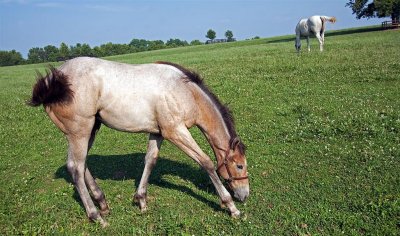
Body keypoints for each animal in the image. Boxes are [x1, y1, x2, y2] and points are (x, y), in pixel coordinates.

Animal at [28, 56, 248, 227]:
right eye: (239, 165)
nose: (244, 195)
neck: (185, 92)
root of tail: (53, 80)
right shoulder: (175, 131)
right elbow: (206, 162)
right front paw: (230, 206)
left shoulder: (158, 133)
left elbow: (150, 160)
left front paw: (141, 200)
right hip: (80, 132)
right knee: (76, 167)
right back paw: (96, 216)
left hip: (88, 130)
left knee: (80, 165)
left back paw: (102, 203)